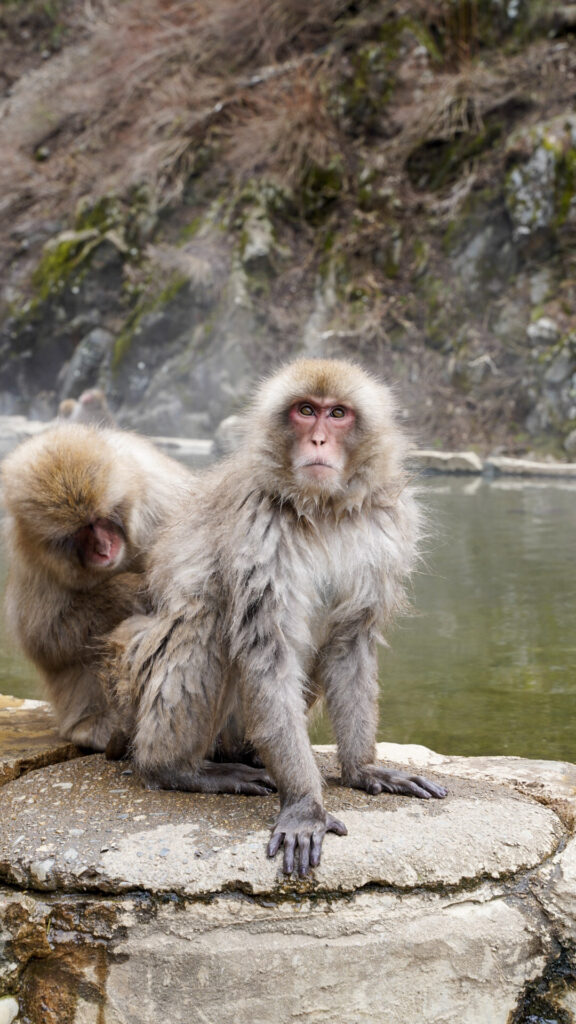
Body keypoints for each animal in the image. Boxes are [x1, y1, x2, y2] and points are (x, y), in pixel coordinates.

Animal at [109, 360, 446, 872]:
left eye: (338, 414)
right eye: (305, 411)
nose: (319, 440)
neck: (324, 509)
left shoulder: (384, 530)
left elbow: (349, 643)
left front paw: (362, 768)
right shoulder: (258, 525)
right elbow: (269, 651)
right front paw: (306, 805)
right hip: (143, 694)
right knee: (207, 617)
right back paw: (176, 769)